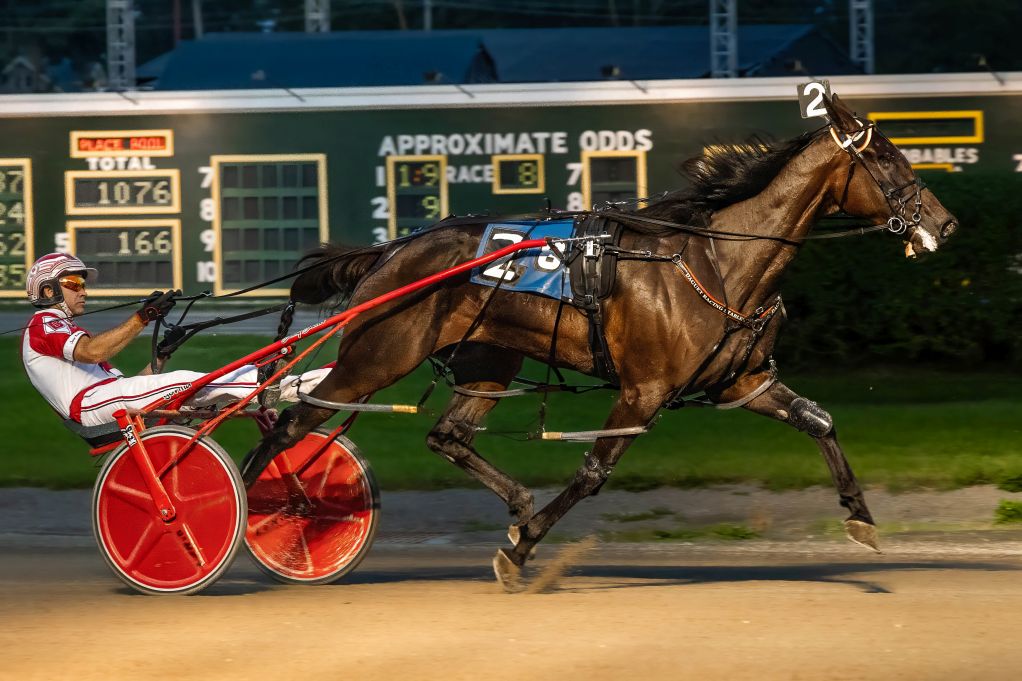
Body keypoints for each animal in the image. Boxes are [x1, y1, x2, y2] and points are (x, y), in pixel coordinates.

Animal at [241, 91, 956, 588]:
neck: (720, 260)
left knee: (446, 436)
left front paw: (861, 518)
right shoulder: (644, 389)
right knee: (286, 427)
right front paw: (520, 550)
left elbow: (819, 420)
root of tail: (392, 250)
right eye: (887, 157)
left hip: (488, 359)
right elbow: (592, 472)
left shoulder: (742, 381)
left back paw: (515, 500)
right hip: (377, 355)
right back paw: (242, 516)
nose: (945, 224)